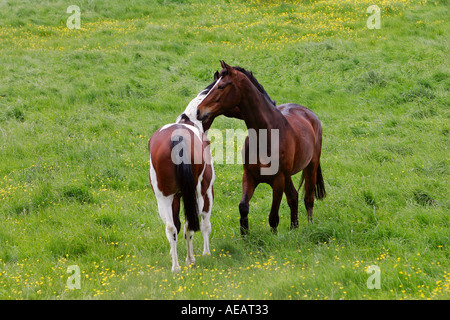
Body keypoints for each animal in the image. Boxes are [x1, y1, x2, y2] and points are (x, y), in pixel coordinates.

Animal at [195, 61, 326, 234]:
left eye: (221, 86)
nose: (198, 111)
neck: (266, 135)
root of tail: (309, 114)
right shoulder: (249, 176)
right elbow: (243, 207)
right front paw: (244, 235)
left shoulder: (278, 180)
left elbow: (273, 217)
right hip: (288, 176)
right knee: (293, 197)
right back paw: (294, 228)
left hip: (311, 166)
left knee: (308, 199)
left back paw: (309, 227)